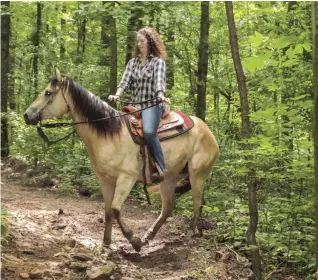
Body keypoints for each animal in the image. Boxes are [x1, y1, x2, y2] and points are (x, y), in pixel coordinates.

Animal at [24, 68, 219, 252]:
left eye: (48, 92)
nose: (26, 114)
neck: (110, 135)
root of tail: (206, 129)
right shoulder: (105, 180)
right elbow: (108, 212)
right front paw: (106, 243)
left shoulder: (127, 179)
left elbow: (116, 210)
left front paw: (134, 241)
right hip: (169, 178)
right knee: (168, 208)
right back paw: (148, 236)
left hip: (197, 175)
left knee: (197, 202)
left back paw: (189, 233)